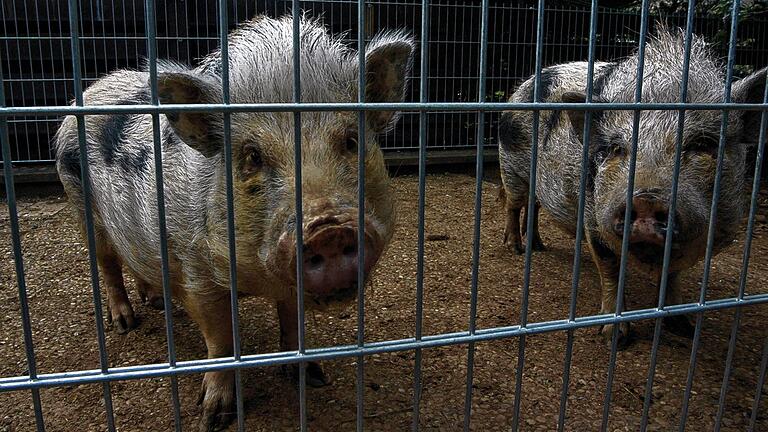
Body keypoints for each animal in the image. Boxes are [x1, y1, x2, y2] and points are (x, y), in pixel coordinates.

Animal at [53, 15, 412, 430]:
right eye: (253, 156)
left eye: (351, 141)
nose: (329, 229)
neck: (258, 280)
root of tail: (94, 87)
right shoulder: (195, 269)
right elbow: (221, 338)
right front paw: (213, 416)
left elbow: (292, 321)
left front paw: (312, 377)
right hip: (81, 205)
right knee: (108, 265)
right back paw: (125, 323)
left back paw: (156, 301)